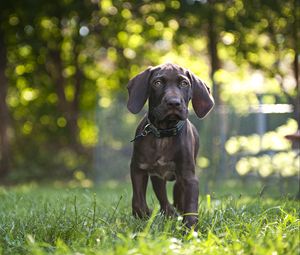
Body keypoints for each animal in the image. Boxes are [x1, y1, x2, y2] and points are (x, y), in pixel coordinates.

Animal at [126, 62, 213, 228]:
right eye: (157, 83)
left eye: (184, 83)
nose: (174, 103)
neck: (164, 134)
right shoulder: (138, 168)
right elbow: (138, 201)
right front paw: (144, 216)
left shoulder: (188, 176)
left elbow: (191, 207)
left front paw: (190, 229)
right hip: (157, 178)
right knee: (164, 200)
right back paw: (169, 214)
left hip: (177, 181)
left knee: (177, 200)